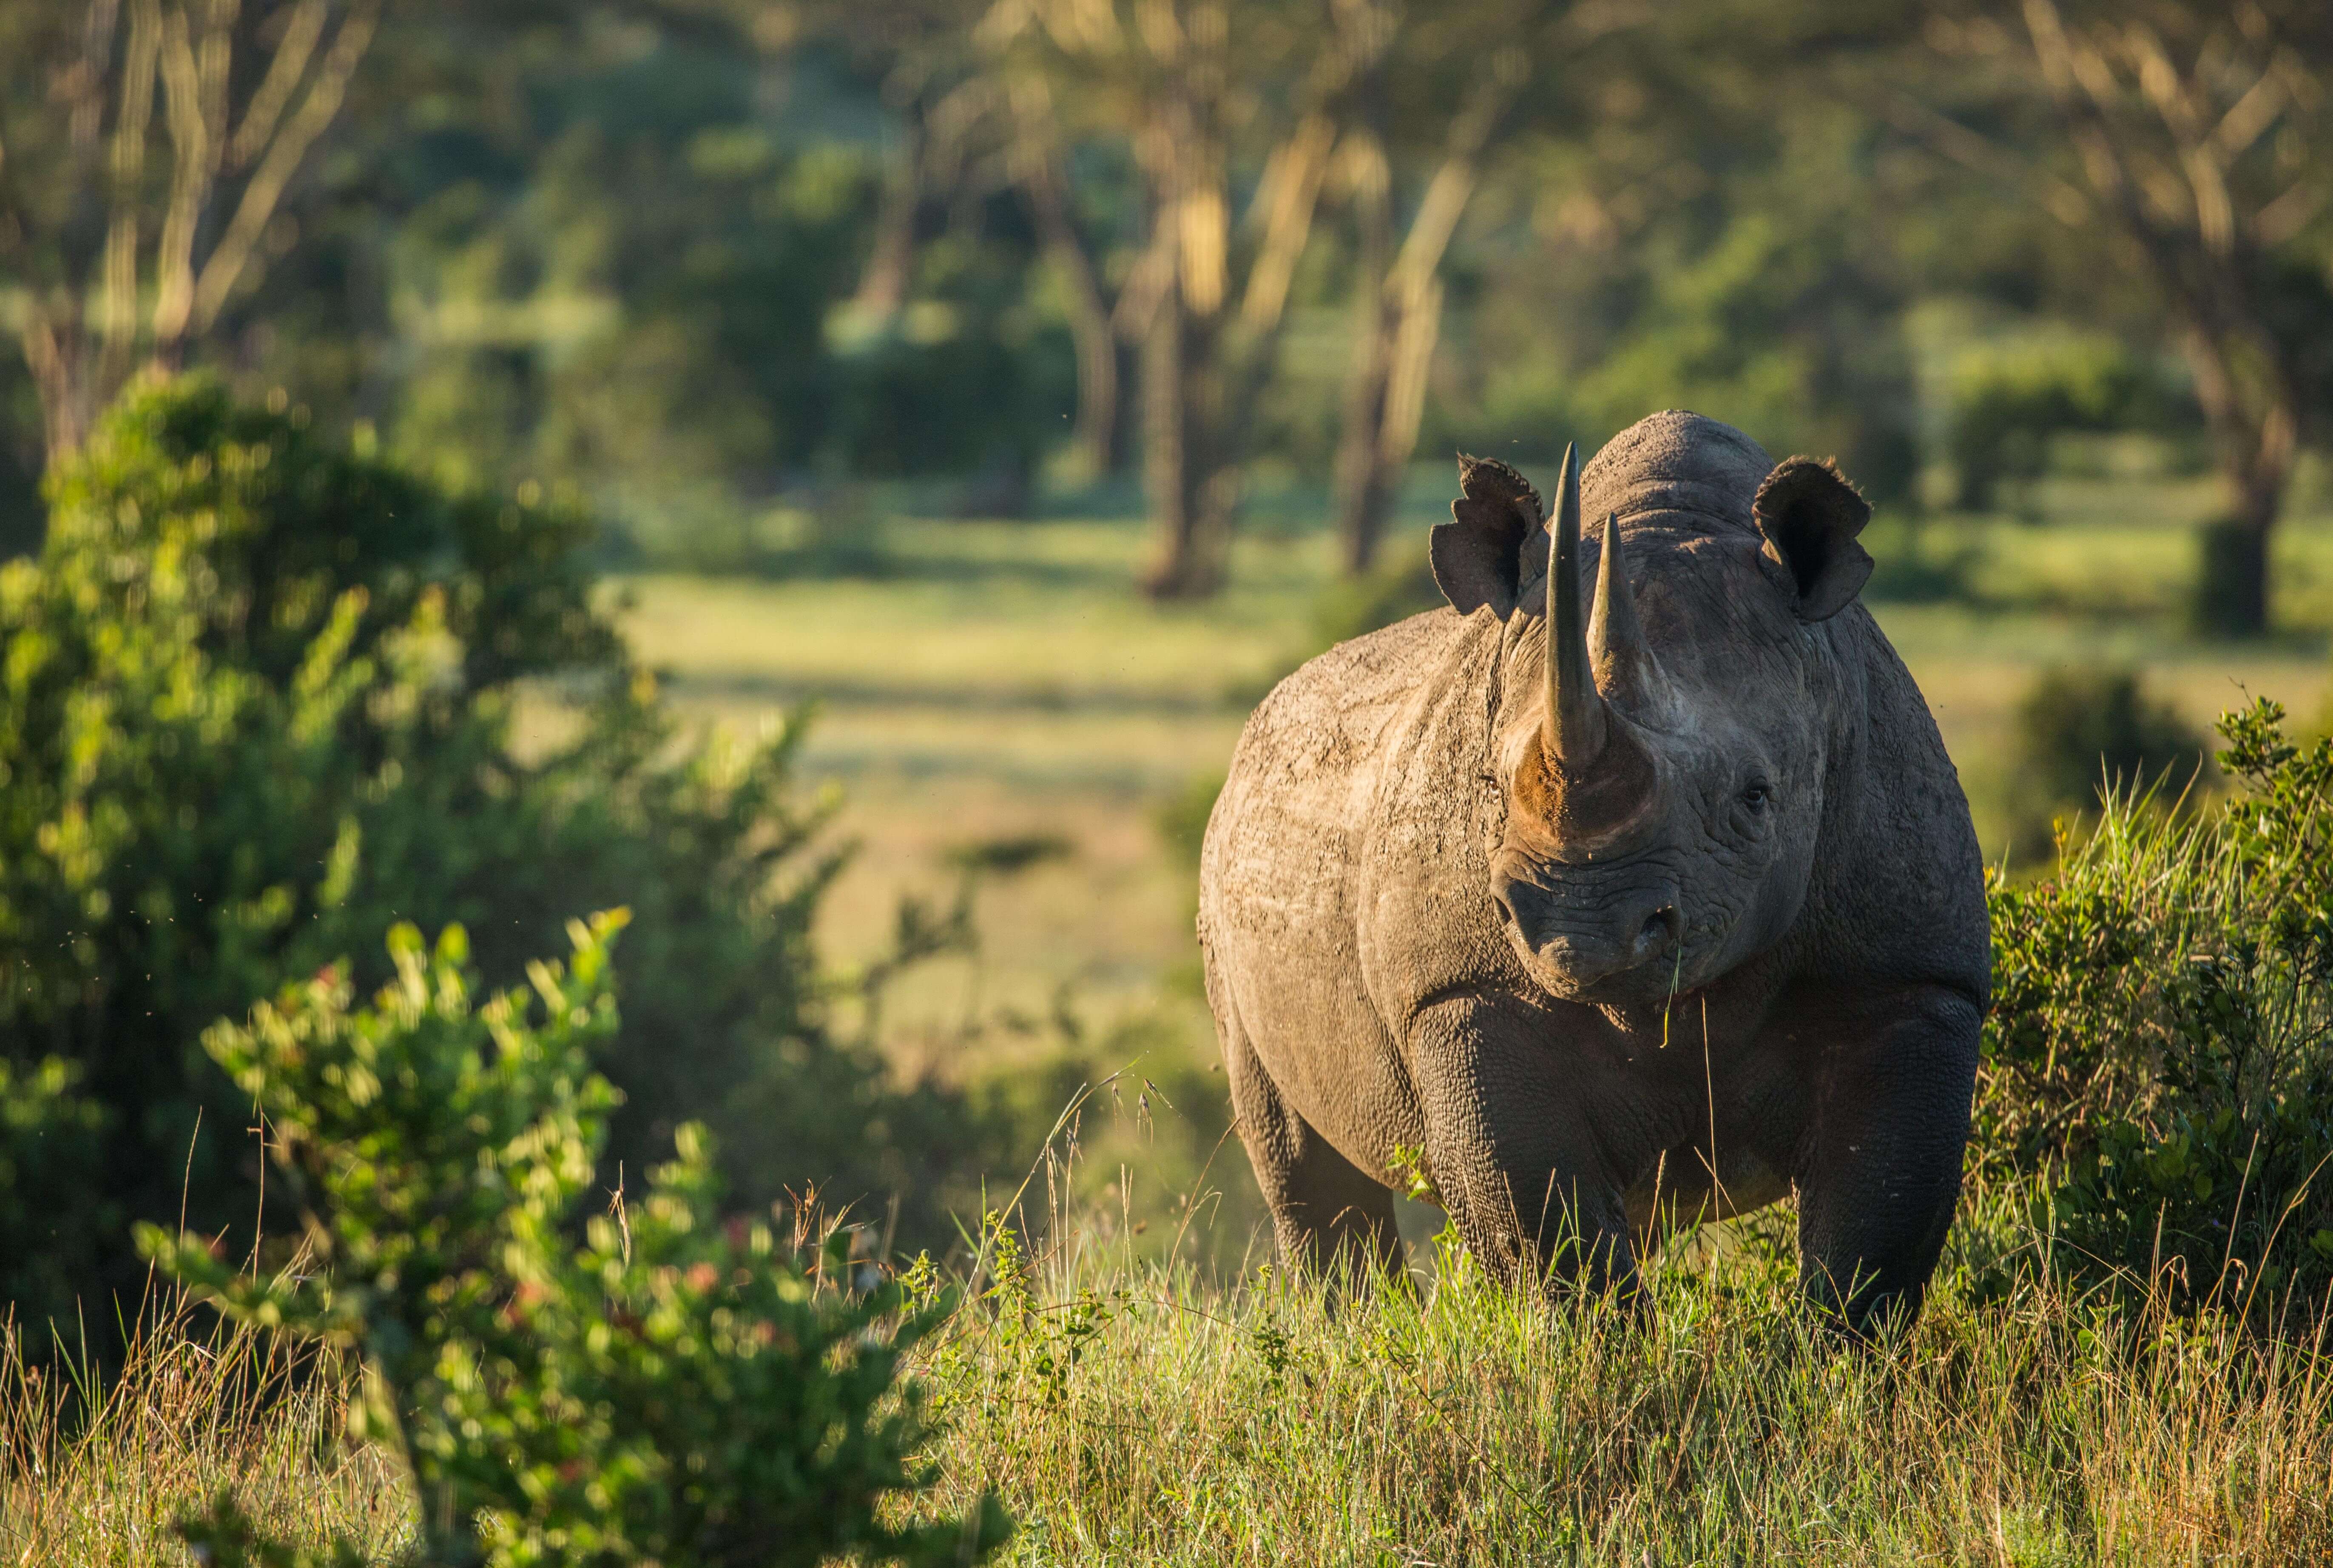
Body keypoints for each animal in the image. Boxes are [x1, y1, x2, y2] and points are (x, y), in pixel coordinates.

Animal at [1197, 411, 1987, 1331]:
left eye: (1756, 797)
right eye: (1489, 788)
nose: (1581, 929)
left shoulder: (1912, 977)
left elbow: (1873, 1236)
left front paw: (1838, 1364)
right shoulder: (1460, 988)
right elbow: (1546, 1236)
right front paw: (1603, 1362)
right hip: (1229, 867)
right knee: (1301, 1160)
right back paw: (1357, 1332)